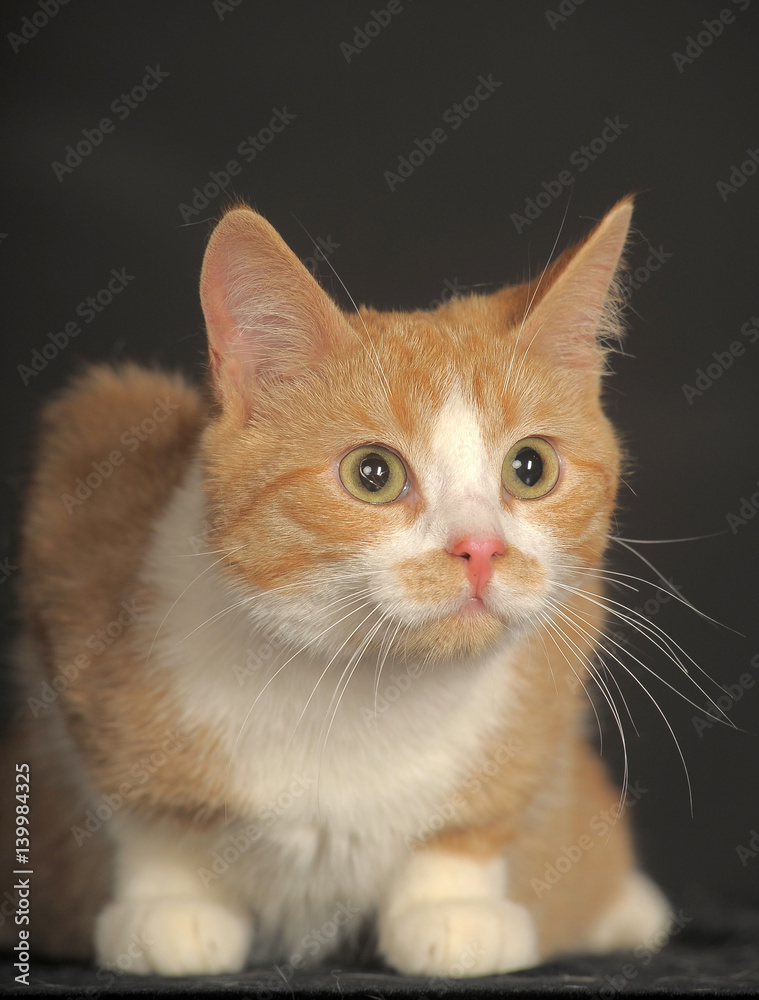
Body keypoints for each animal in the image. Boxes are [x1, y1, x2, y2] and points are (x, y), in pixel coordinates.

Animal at [0, 197, 676, 976]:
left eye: (529, 467)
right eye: (372, 474)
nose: (480, 548)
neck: (362, 690)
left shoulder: (560, 651)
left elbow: (483, 812)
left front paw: (451, 905)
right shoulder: (82, 494)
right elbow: (145, 813)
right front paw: (168, 905)